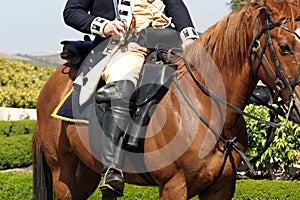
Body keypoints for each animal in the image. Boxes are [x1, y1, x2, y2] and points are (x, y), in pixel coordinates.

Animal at [32, 0, 300, 199]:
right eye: (285, 47)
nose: (299, 103)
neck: (208, 108)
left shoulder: (221, 188)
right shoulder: (174, 186)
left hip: (87, 172)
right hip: (63, 172)